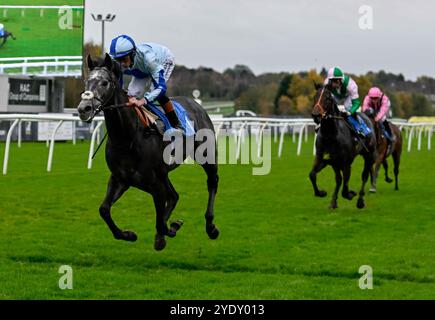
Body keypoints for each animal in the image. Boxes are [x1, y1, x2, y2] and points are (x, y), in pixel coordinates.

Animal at [76, 54, 220, 250]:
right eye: (86, 82)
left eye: (105, 82)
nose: (84, 109)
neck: (127, 138)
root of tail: (195, 104)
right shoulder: (121, 179)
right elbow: (104, 210)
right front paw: (129, 234)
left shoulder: (154, 184)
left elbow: (160, 220)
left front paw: (167, 231)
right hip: (164, 173)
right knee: (174, 196)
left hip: (206, 155)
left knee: (212, 181)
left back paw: (211, 226)